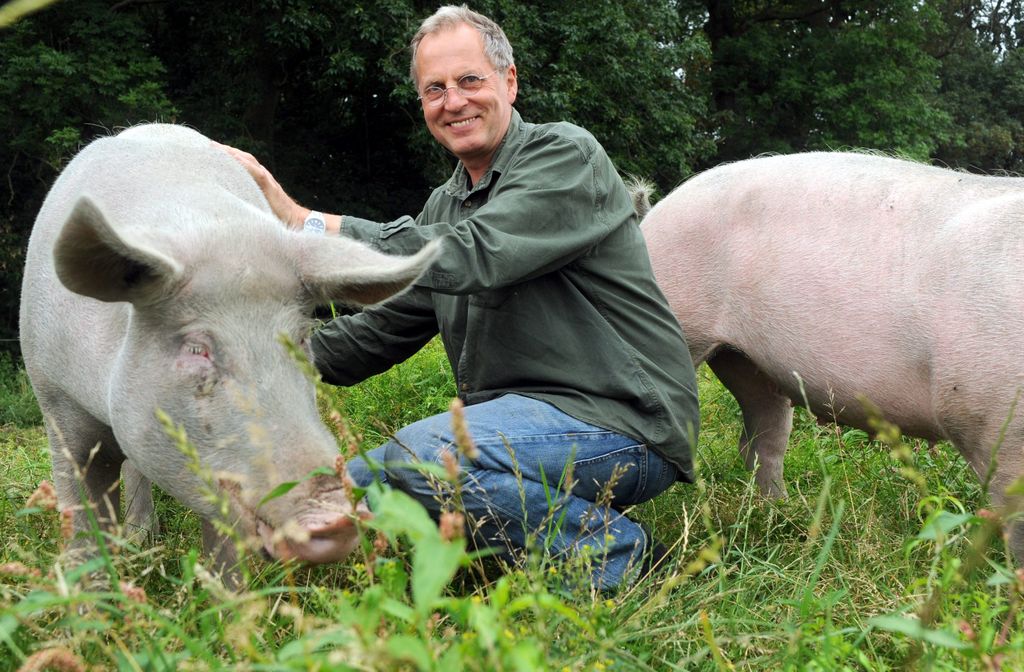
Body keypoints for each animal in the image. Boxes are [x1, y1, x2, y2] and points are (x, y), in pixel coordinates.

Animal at [18, 123, 436, 585]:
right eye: (197, 348)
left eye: (301, 339)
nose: (336, 518)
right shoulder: (55, 399)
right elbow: (83, 525)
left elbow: (225, 556)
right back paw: (141, 539)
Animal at [638, 150, 1024, 557]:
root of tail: (654, 212)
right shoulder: (994, 416)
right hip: (681, 316)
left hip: (746, 363)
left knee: (760, 443)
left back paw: (784, 520)